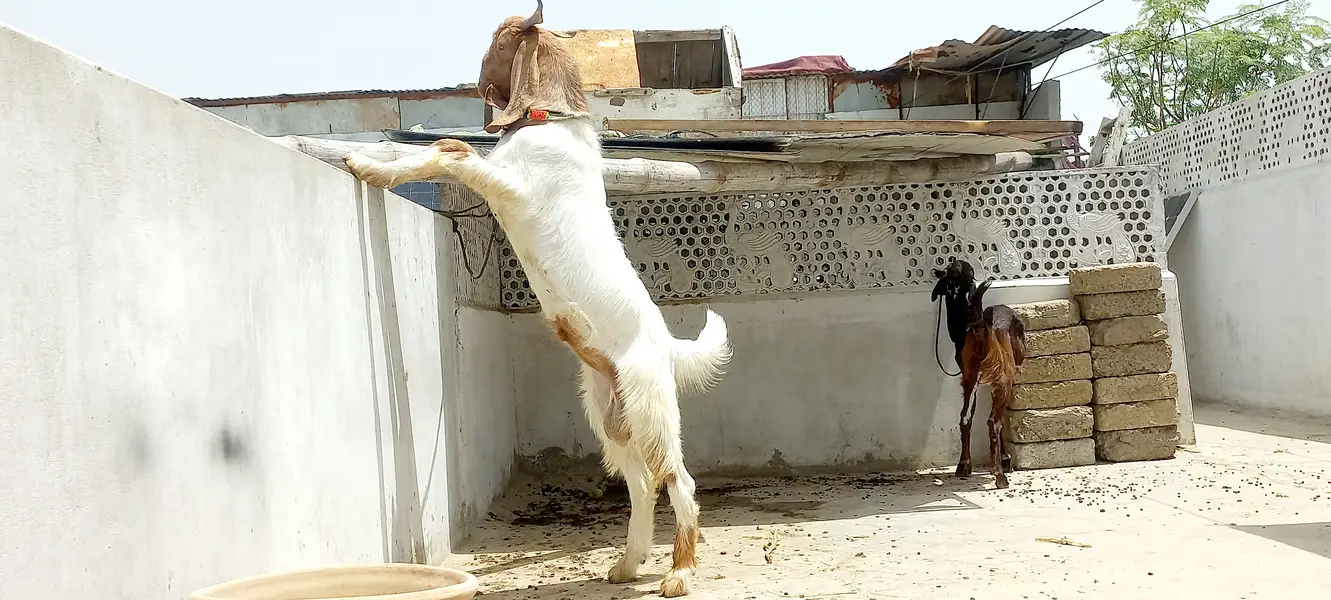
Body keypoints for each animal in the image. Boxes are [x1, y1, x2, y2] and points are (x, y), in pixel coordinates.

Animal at [340, 2, 731, 596]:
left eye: (497, 41)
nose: (473, 85)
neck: (550, 122)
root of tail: (665, 342)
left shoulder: (510, 186)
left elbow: (447, 152)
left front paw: (369, 167)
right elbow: (449, 150)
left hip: (651, 410)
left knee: (678, 482)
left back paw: (680, 571)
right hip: (609, 417)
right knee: (642, 485)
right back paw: (628, 563)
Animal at [955, 278, 1026, 489]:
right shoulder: (1002, 383)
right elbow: (998, 422)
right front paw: (1004, 461)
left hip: (970, 380)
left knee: (965, 419)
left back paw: (964, 465)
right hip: (1001, 381)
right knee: (993, 423)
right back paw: (1000, 476)